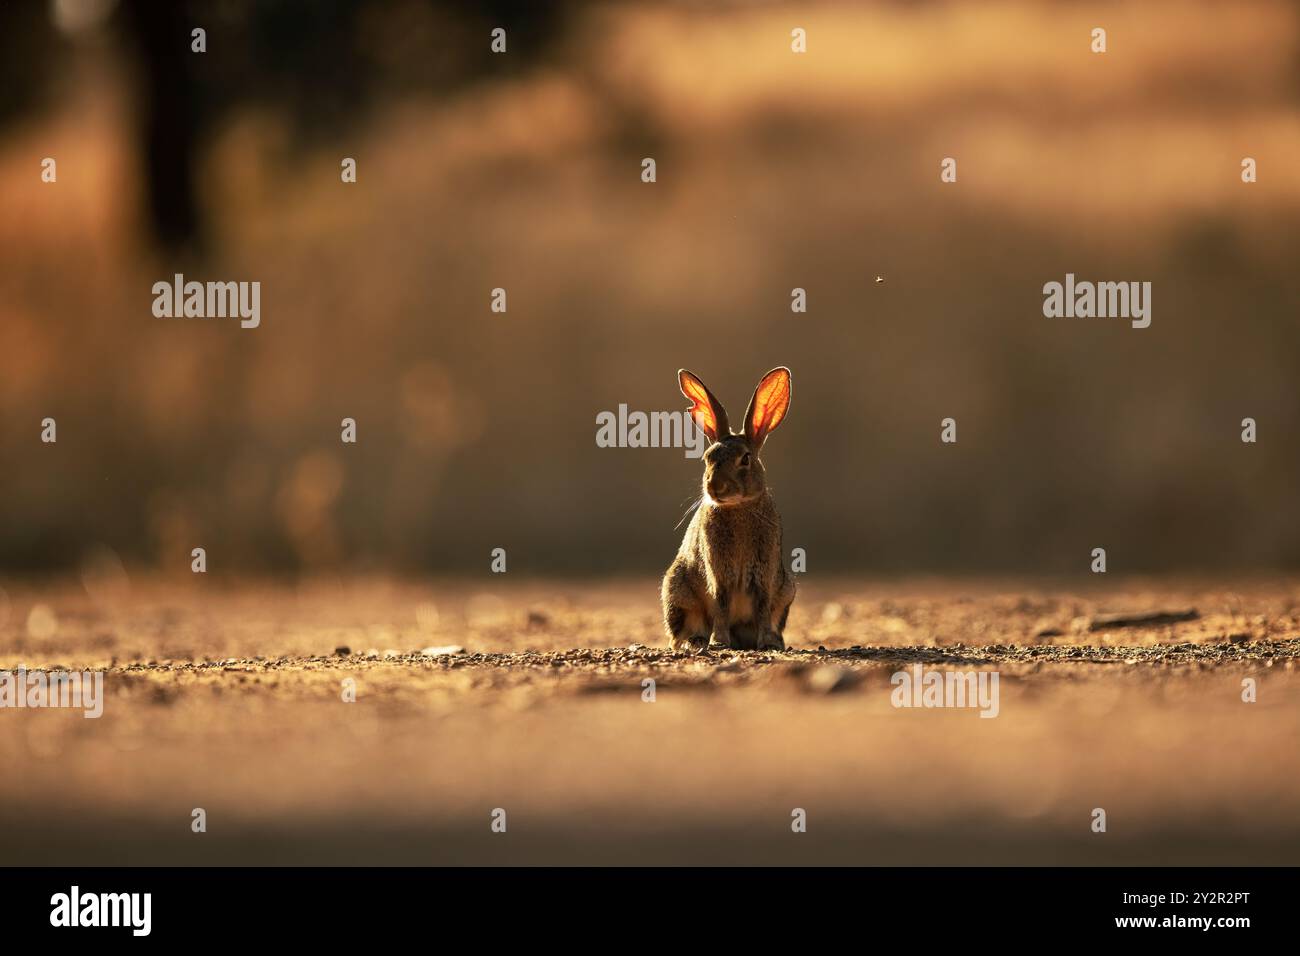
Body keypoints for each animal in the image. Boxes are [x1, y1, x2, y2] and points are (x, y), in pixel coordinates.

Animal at [662, 367, 796, 653]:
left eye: (745, 459)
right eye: (707, 458)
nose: (715, 487)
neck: (738, 506)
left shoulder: (764, 574)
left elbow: (762, 607)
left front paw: (768, 642)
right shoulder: (718, 572)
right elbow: (721, 603)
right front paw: (720, 642)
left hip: (787, 588)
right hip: (677, 590)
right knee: (680, 633)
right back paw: (696, 641)